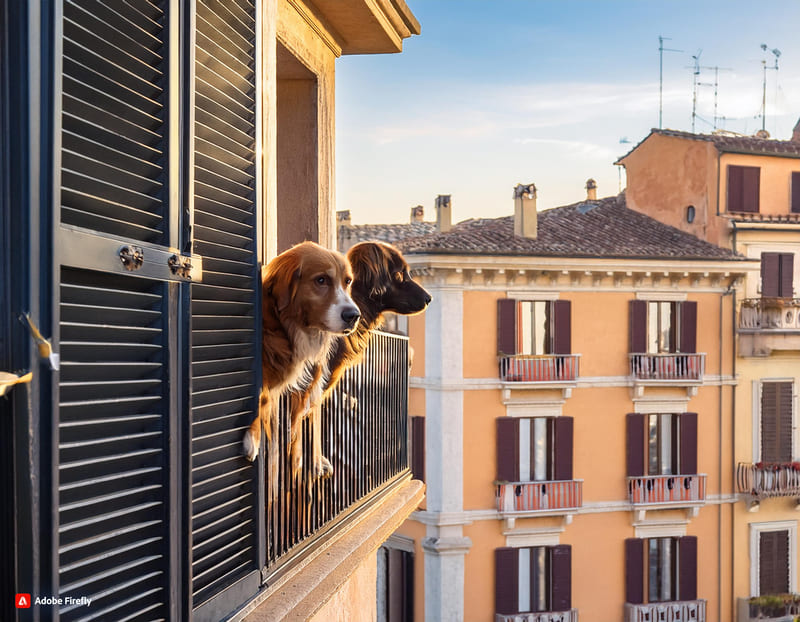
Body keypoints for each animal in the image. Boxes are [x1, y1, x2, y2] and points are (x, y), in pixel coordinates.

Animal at [241, 243, 360, 482]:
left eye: (347, 281)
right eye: (321, 280)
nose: (354, 315)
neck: (284, 323)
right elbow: (260, 395)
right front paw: (252, 438)